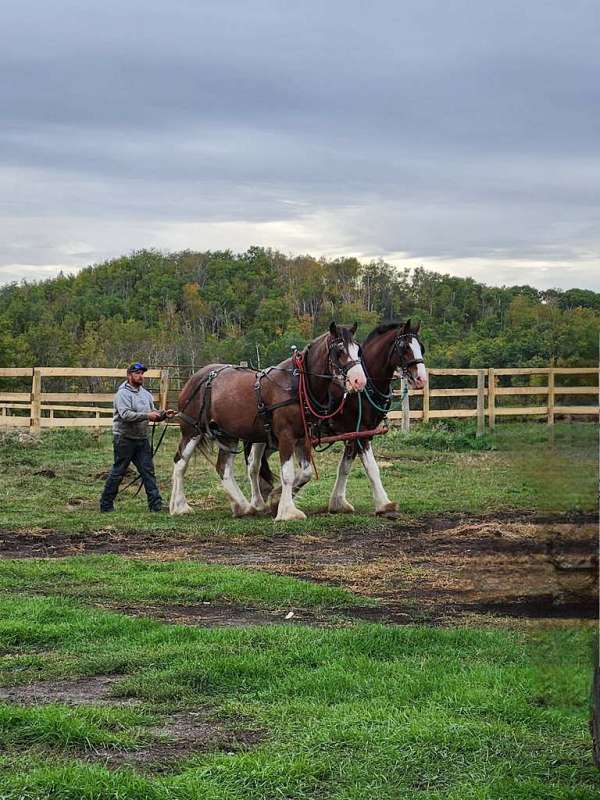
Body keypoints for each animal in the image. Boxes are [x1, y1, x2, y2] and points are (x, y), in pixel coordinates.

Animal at [253, 322, 426, 516]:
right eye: (404, 348)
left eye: (421, 348)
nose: (421, 378)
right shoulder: (360, 432)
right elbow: (372, 468)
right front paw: (384, 503)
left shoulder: (355, 434)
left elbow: (344, 467)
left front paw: (338, 502)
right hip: (263, 437)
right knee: (253, 464)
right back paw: (257, 501)